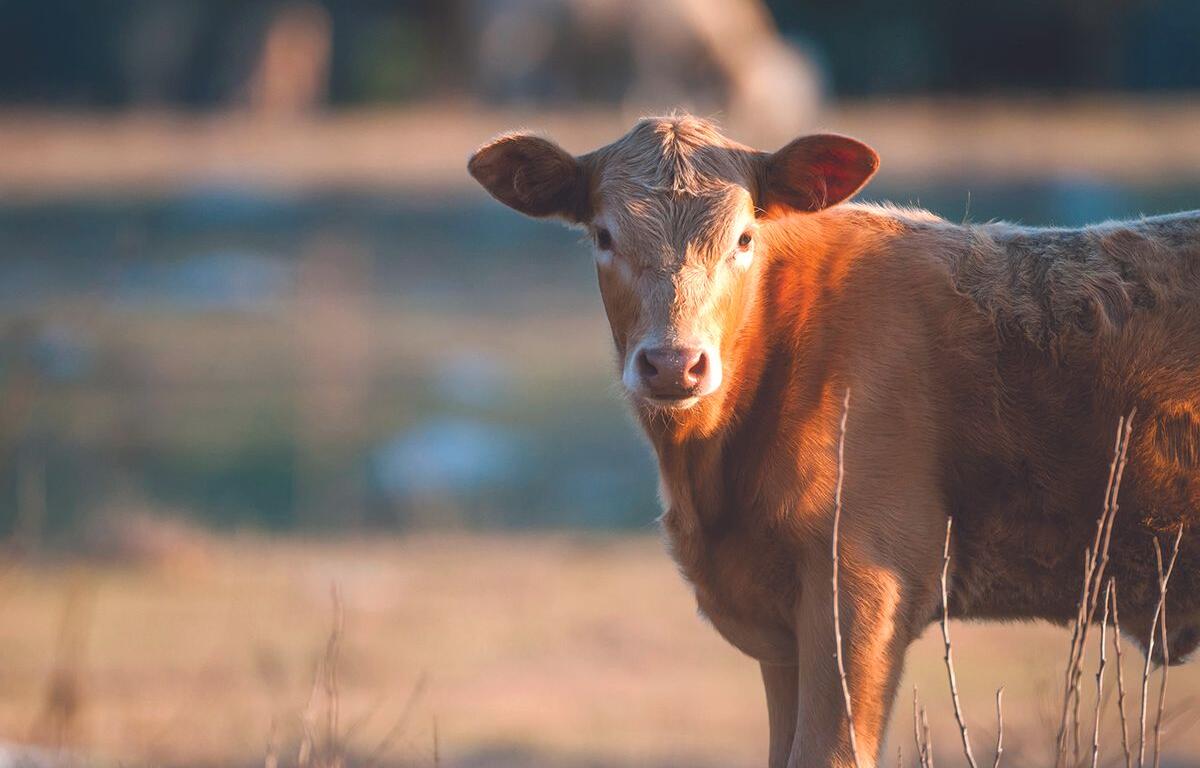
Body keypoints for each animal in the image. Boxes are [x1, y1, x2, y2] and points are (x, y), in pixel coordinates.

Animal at [467, 114, 1200, 768]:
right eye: (603, 234)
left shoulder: (864, 584)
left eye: (743, 237)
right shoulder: (784, 627)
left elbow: (830, 754)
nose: (674, 364)